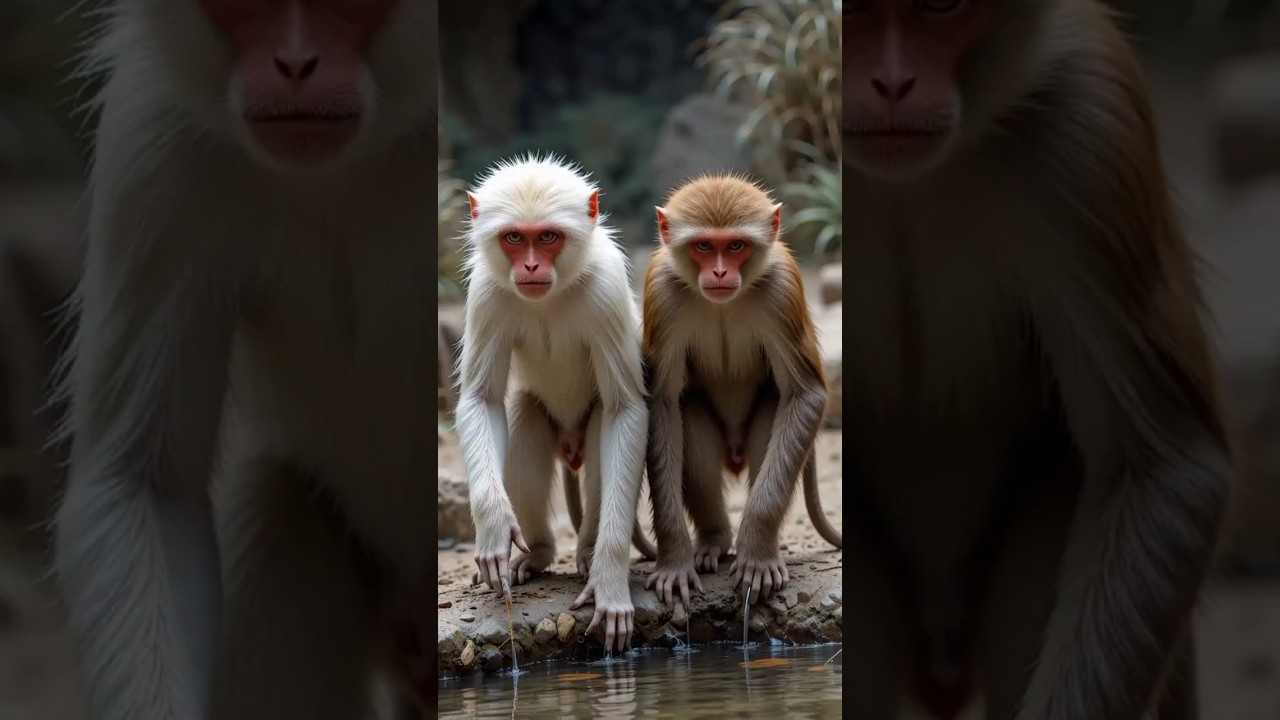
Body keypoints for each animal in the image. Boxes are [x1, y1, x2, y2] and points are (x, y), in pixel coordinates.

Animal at [455, 153, 647, 653]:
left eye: (547, 237)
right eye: (514, 238)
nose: (530, 266)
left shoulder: (605, 288)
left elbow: (625, 410)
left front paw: (610, 581)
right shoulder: (486, 292)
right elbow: (481, 400)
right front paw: (494, 529)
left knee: (600, 425)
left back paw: (588, 551)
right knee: (525, 414)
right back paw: (537, 554)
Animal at [641, 174, 842, 611]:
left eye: (735, 246)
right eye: (704, 246)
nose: (719, 273)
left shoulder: (781, 288)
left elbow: (805, 395)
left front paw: (756, 556)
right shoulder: (662, 292)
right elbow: (661, 403)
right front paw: (673, 560)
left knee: (773, 412)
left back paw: (762, 546)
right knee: (690, 419)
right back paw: (714, 540)